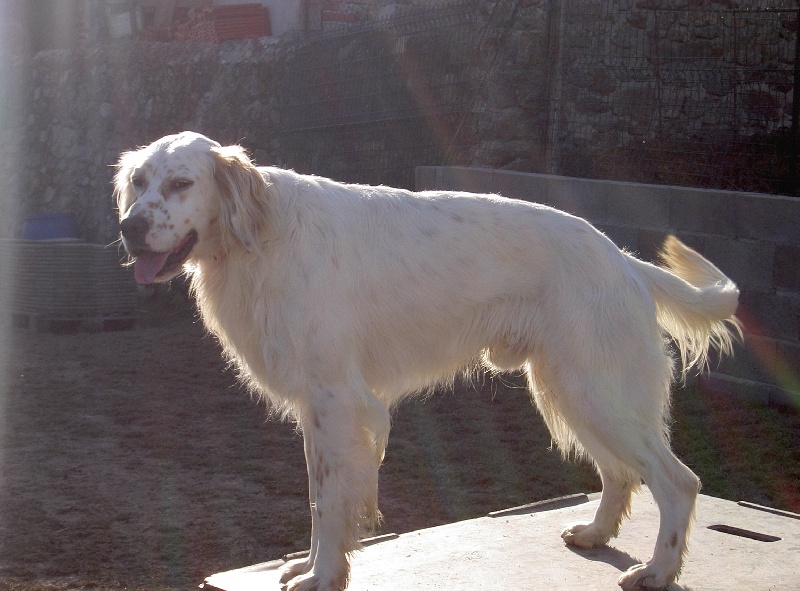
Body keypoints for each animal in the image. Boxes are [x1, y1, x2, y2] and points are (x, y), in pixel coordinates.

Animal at [115, 133, 740, 591]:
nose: (129, 227)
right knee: (620, 473)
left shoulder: (338, 402)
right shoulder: (318, 410)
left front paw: (323, 575)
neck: (263, 237)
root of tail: (623, 260)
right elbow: (320, 499)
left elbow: (331, 505)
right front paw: (313, 565)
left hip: (594, 391)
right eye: (139, 183)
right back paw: (594, 533)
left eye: (180, 183)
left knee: (677, 482)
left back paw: (658, 572)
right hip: (570, 390)